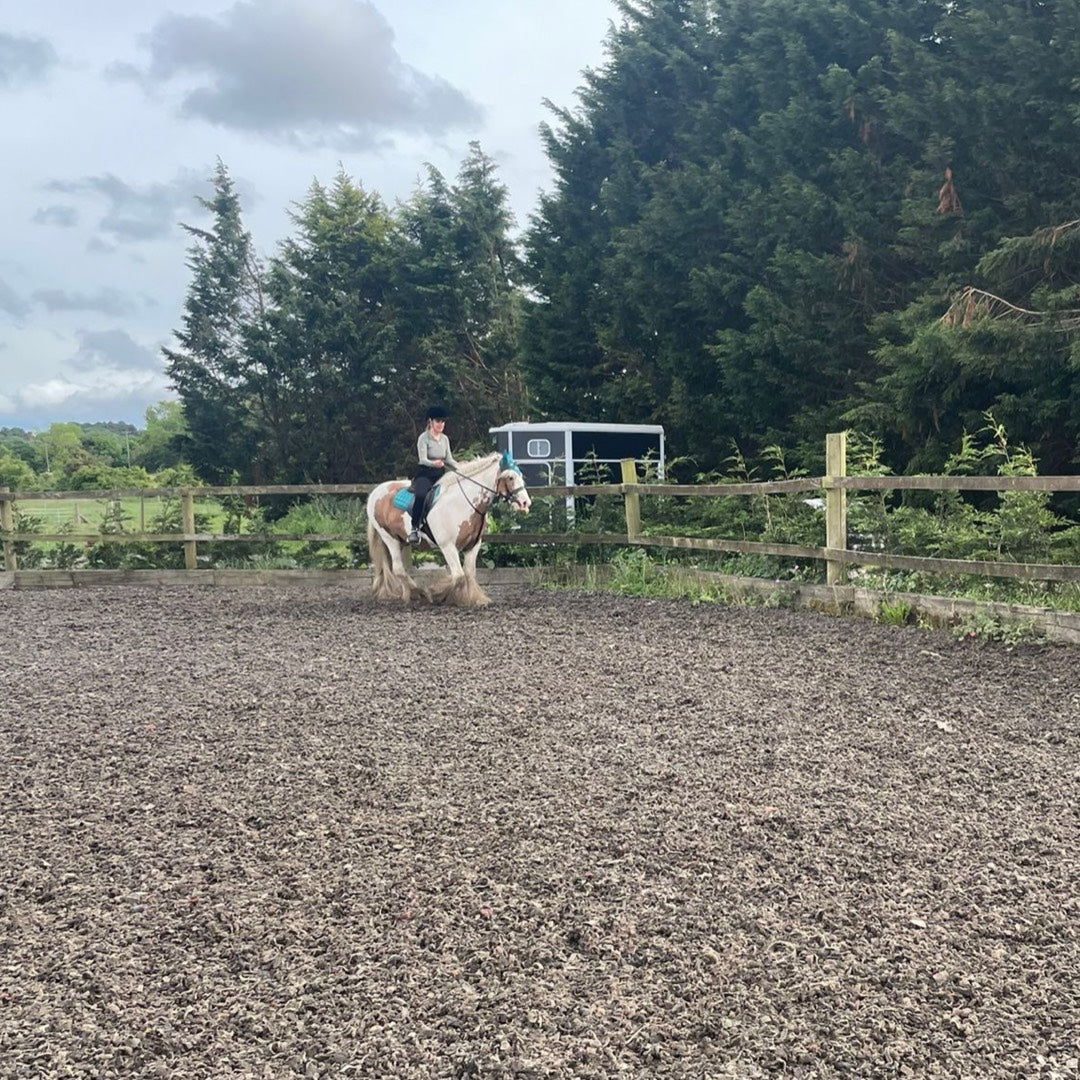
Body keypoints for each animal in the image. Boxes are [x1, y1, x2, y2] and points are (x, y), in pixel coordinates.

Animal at [365, 451, 531, 606]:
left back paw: (409, 595)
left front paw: (475, 599)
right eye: (510, 477)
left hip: (401, 541)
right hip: (389, 538)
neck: (461, 503)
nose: (525, 503)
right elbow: (458, 576)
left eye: (521, 475)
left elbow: (469, 573)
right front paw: (439, 594)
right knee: (398, 569)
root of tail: (376, 491)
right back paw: (420, 593)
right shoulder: (447, 546)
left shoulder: (473, 545)